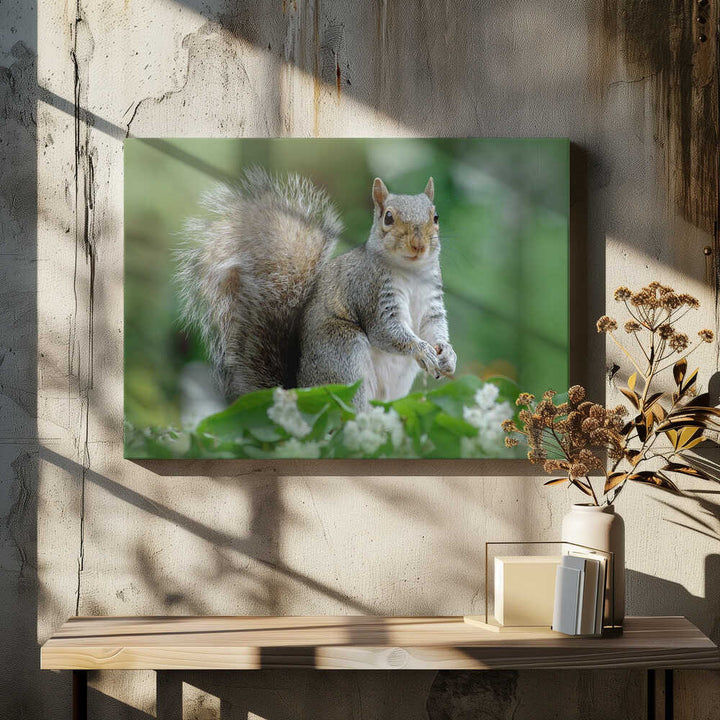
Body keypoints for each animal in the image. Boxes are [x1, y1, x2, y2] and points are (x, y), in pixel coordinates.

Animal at [176, 168, 456, 410]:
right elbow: (386, 331)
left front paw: (448, 355)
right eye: (388, 217)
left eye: (435, 217)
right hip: (343, 356)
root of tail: (300, 392)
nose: (418, 245)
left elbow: (434, 327)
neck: (411, 273)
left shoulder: (432, 302)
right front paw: (422, 350)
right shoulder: (370, 291)